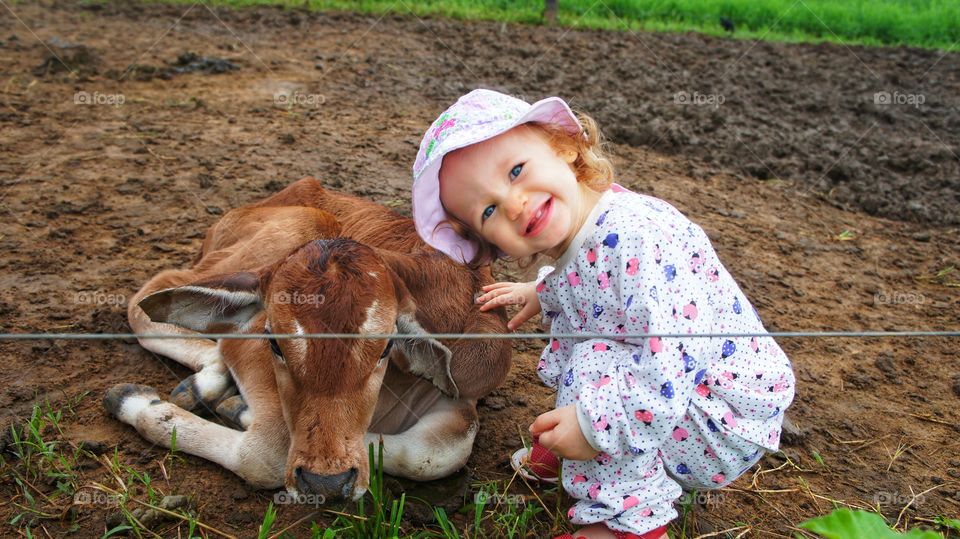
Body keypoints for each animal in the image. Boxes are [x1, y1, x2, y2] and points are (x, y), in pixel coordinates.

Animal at [104, 177, 511, 501]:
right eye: (273, 343)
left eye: (386, 348)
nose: (324, 482)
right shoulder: (247, 341)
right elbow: (266, 455)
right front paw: (136, 401)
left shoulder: (462, 399)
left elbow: (438, 453)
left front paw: (236, 408)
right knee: (153, 293)